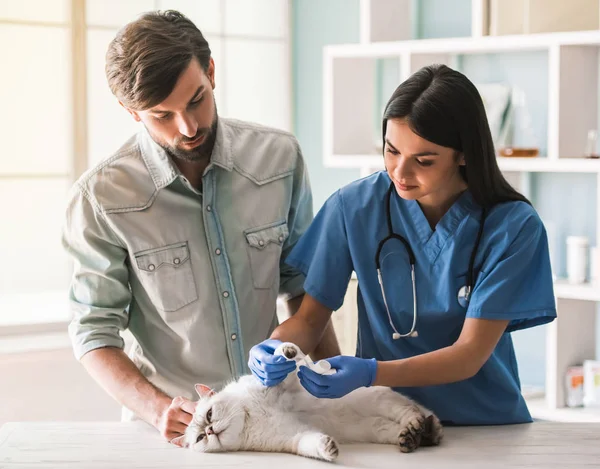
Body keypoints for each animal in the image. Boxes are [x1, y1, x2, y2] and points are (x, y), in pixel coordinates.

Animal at [176, 342, 442, 462]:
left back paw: (421, 427)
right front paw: (328, 449)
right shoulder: (295, 437)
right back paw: (414, 436)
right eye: (199, 438)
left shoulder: (285, 384)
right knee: (407, 425)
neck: (251, 416)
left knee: (412, 412)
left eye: (210, 415)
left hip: (382, 401)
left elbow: (283, 362)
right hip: (376, 429)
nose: (210, 430)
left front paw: (285, 351)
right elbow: (312, 443)